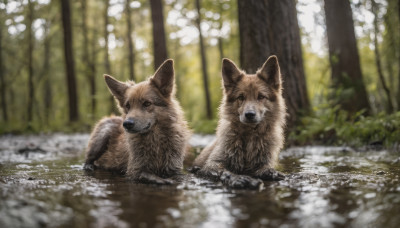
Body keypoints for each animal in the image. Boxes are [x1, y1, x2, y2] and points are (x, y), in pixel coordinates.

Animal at [192, 55, 286, 189]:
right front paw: (239, 178)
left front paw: (270, 172)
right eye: (241, 97)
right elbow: (225, 172)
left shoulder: (263, 163)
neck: (249, 137)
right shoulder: (212, 164)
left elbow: (265, 168)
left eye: (261, 97)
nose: (249, 114)